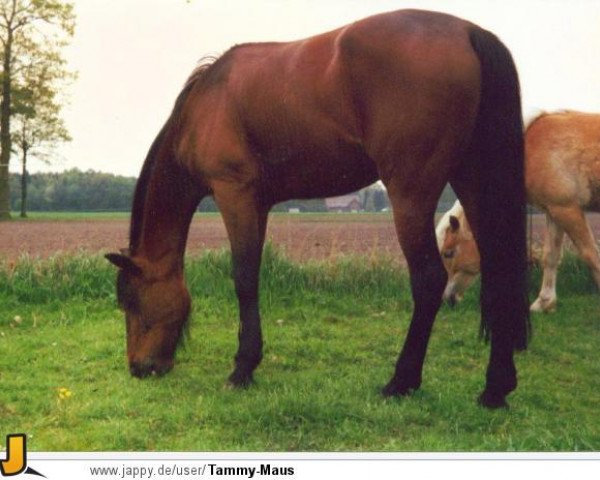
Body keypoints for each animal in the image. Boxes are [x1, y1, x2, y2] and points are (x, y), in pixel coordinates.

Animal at [105, 9, 528, 408]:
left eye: (130, 300)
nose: (139, 368)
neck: (205, 105)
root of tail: (467, 31)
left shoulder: (234, 193)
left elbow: (243, 278)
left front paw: (241, 369)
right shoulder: (258, 204)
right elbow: (253, 274)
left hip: (411, 194)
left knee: (428, 280)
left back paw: (401, 381)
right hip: (473, 180)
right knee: (498, 271)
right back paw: (495, 389)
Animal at [436, 111, 600, 314]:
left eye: (448, 253)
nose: (445, 300)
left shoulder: (567, 209)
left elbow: (590, 254)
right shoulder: (554, 211)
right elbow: (550, 256)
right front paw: (544, 302)